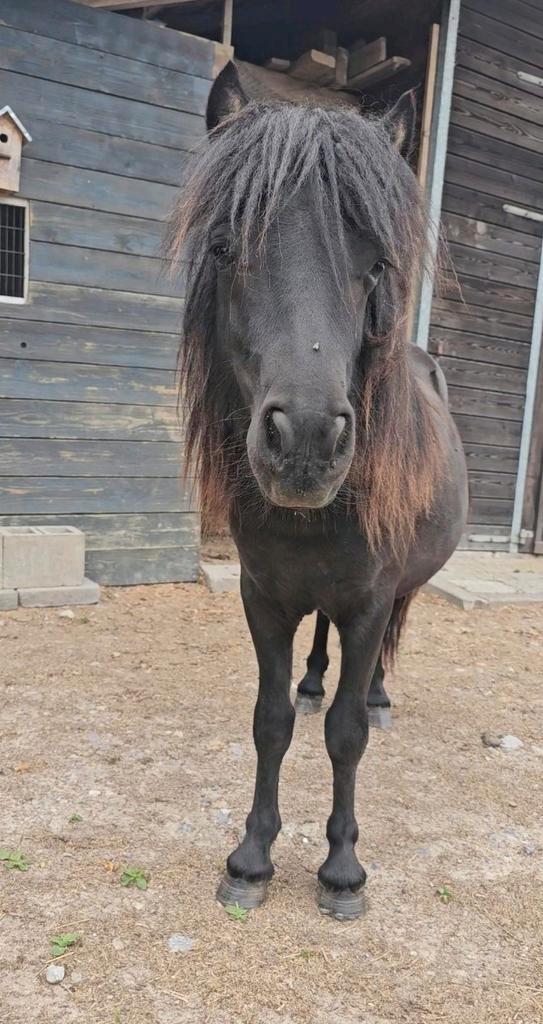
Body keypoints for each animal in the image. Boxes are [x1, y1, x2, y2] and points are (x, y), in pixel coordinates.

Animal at [167, 62, 468, 920]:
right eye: (225, 246)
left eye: (377, 263)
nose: (304, 441)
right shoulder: (263, 597)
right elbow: (270, 721)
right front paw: (250, 860)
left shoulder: (368, 602)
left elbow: (343, 735)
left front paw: (340, 868)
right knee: (317, 652)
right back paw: (312, 681)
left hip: (400, 591)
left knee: (381, 651)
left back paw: (379, 697)